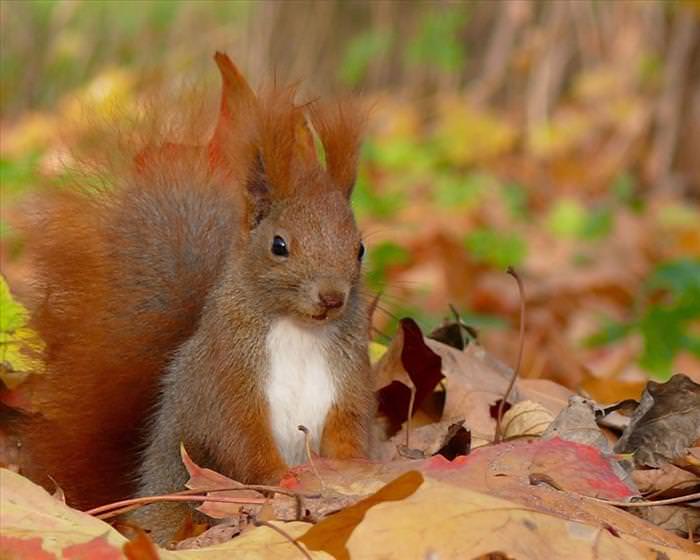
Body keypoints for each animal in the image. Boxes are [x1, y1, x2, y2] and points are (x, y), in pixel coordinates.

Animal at [19, 53, 374, 544]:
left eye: (359, 248)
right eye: (279, 245)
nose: (332, 297)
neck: (299, 329)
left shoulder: (347, 380)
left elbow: (349, 433)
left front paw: (355, 475)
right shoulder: (227, 380)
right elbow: (241, 441)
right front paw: (283, 481)